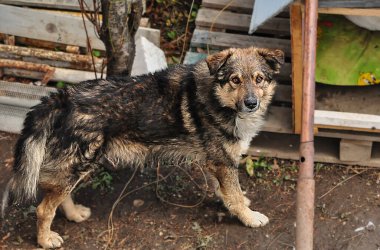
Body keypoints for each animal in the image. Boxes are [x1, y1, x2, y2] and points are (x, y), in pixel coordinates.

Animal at [2, 47, 282, 248]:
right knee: (44, 208)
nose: (251, 103)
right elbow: (233, 196)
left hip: (79, 166)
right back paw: (45, 240)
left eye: (259, 79)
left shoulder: (217, 161)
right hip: (79, 163)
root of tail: (61, 97)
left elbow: (225, 191)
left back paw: (73, 214)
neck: (216, 96)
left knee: (58, 196)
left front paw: (234, 202)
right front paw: (249, 217)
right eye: (235, 80)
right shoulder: (222, 162)